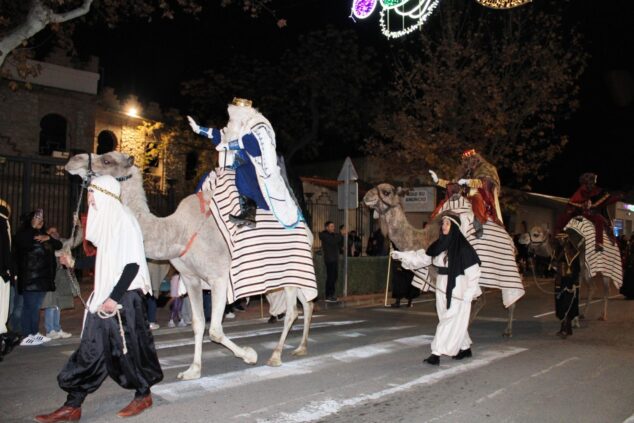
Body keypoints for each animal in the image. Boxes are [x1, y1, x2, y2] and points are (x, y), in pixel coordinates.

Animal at [64, 151, 312, 380]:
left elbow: (215, 330)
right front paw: (192, 370)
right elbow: (198, 323)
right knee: (306, 304)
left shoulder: (219, 278)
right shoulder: (191, 278)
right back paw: (300, 348)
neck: (177, 231)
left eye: (106, 160)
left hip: (290, 267)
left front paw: (249, 355)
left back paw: (276, 355)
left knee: (292, 311)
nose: (73, 161)